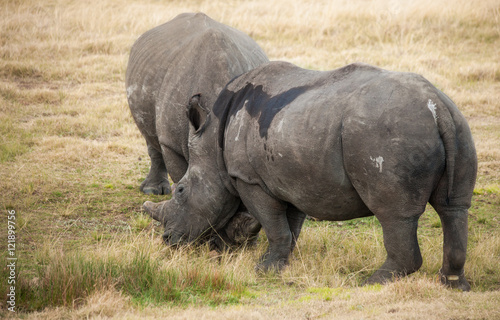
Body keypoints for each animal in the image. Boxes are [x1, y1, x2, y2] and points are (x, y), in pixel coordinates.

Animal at [144, 61, 476, 292]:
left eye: (181, 191)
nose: (167, 240)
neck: (213, 146)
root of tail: (436, 107)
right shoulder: (295, 179)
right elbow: (289, 227)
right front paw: (280, 265)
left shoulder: (251, 180)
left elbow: (274, 224)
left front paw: (262, 270)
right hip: (456, 124)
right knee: (454, 208)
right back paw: (453, 284)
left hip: (388, 133)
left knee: (395, 214)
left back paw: (373, 282)